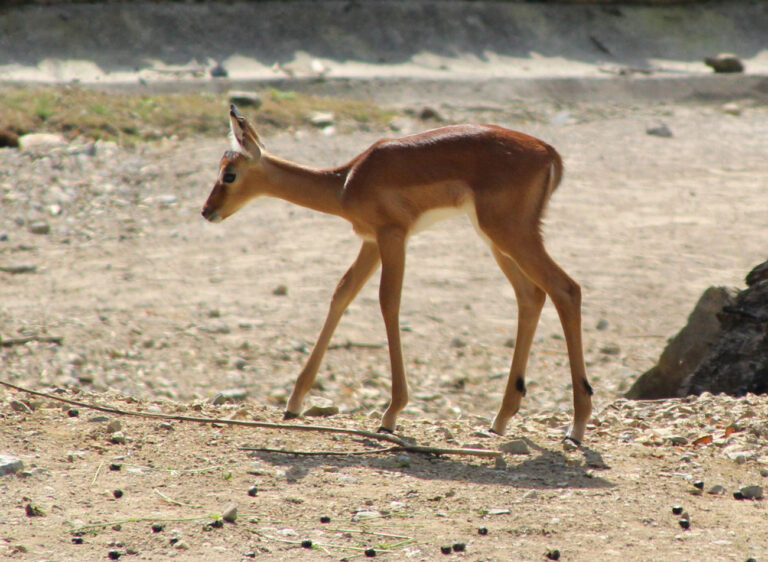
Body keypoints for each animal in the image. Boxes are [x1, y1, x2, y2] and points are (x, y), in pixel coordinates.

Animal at [202, 105, 593, 445]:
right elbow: (342, 294)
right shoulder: (371, 242)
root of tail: (549, 153)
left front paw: (390, 415)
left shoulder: (393, 235)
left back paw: (575, 428)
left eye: (229, 173)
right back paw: (500, 421)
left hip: (510, 234)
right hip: (496, 239)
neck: (346, 183)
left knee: (566, 288)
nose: (207, 211)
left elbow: (389, 303)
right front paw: (294, 403)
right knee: (531, 295)